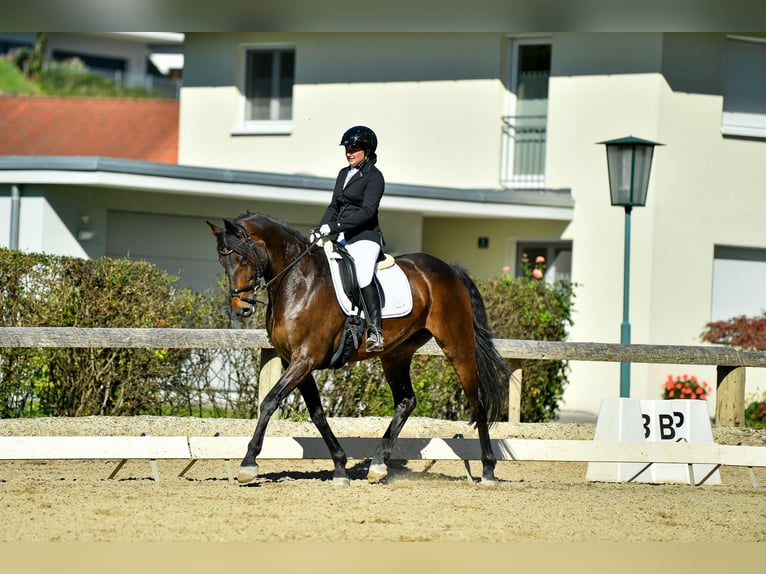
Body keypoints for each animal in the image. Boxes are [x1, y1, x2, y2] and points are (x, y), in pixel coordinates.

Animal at [207, 212, 512, 486]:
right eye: (222, 260)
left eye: (243, 258)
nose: (242, 309)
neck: (298, 281)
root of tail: (451, 270)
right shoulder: (292, 361)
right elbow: (317, 414)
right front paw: (341, 467)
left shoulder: (305, 358)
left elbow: (270, 402)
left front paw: (248, 464)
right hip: (396, 353)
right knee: (406, 401)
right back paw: (378, 465)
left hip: (457, 344)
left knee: (477, 402)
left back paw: (488, 470)